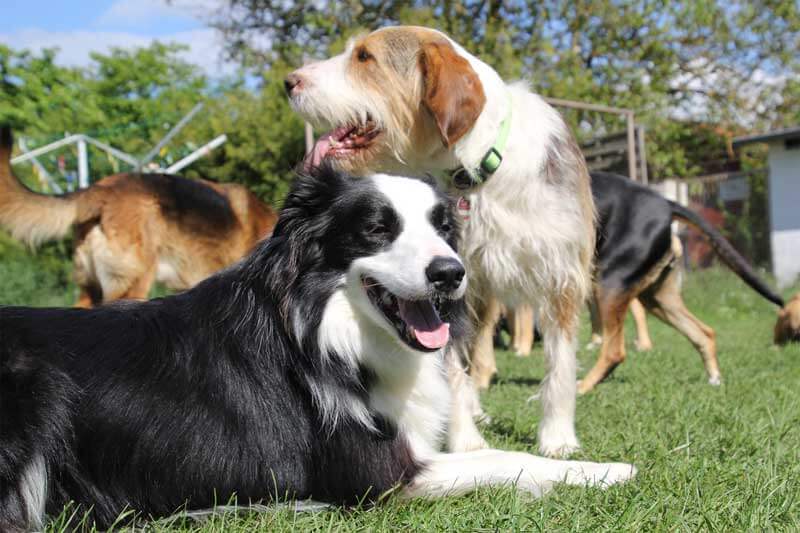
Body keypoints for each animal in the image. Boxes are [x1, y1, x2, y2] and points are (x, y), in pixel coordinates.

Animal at [0, 167, 635, 531]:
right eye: (377, 227)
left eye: (442, 228)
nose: (451, 274)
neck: (323, 329)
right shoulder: (381, 473)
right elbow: (502, 459)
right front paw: (609, 469)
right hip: (37, 388)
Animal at [286, 26, 594, 458]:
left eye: (364, 57)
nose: (289, 82)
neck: (477, 171)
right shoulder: (447, 276)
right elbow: (451, 368)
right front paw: (466, 440)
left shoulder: (561, 276)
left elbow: (561, 366)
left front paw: (558, 438)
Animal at [473, 171, 785, 391]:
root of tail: (666, 203)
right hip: (657, 297)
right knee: (703, 333)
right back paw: (714, 379)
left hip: (610, 285)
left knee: (615, 351)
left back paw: (584, 386)